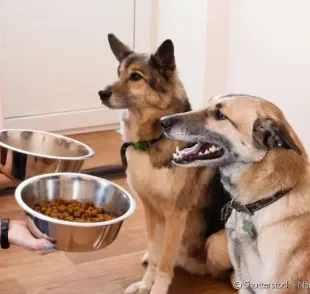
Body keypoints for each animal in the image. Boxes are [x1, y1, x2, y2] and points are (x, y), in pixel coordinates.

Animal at [98, 36, 231, 294]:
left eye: (135, 77)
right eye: (119, 73)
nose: (101, 93)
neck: (152, 140)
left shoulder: (175, 216)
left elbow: (165, 262)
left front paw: (157, 287)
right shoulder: (150, 209)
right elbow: (156, 253)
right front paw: (145, 283)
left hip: (216, 243)